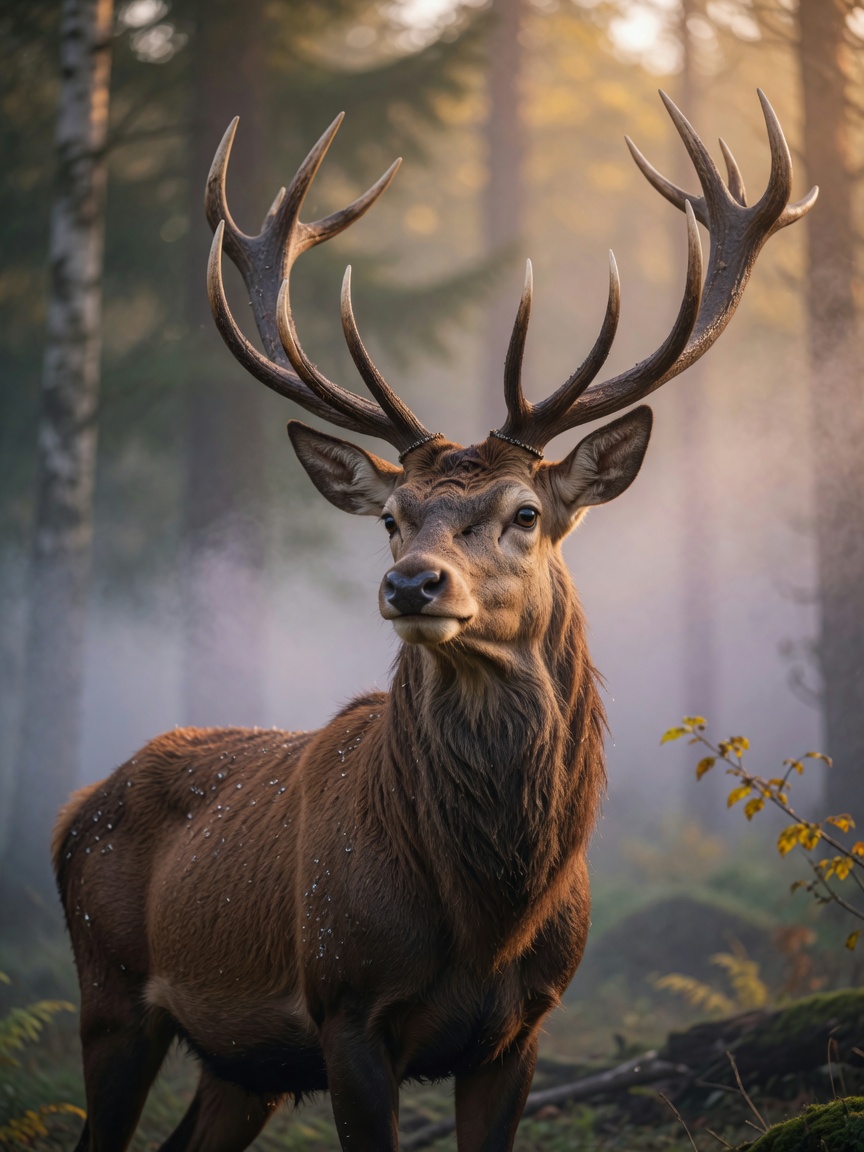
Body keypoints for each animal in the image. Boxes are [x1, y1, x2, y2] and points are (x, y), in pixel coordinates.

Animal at [53, 91, 815, 1152]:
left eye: (525, 513)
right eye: (390, 516)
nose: (411, 584)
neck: (487, 917)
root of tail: (74, 810)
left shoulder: (523, 1028)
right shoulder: (344, 1006)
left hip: (240, 1066)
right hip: (110, 989)